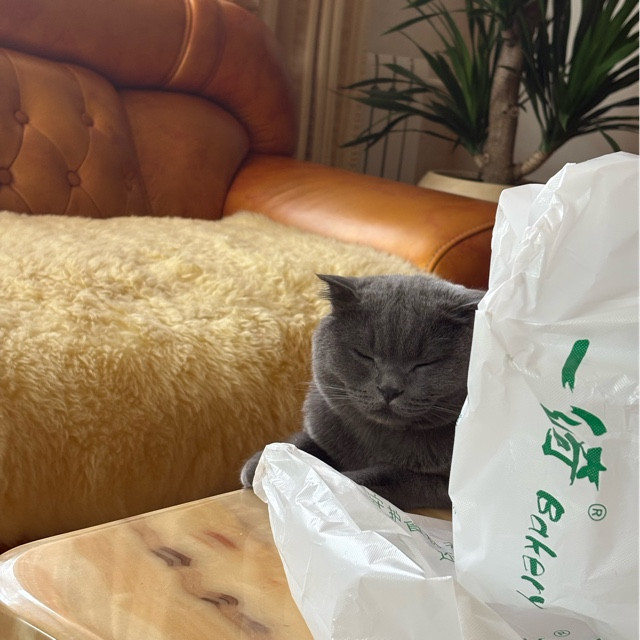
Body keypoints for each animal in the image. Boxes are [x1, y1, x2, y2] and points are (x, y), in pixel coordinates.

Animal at [240, 273, 484, 510]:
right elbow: (304, 442)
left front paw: (331, 485)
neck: (379, 438)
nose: (389, 388)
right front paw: (261, 464)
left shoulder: (446, 489)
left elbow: (384, 475)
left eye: (425, 363)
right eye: (364, 355)